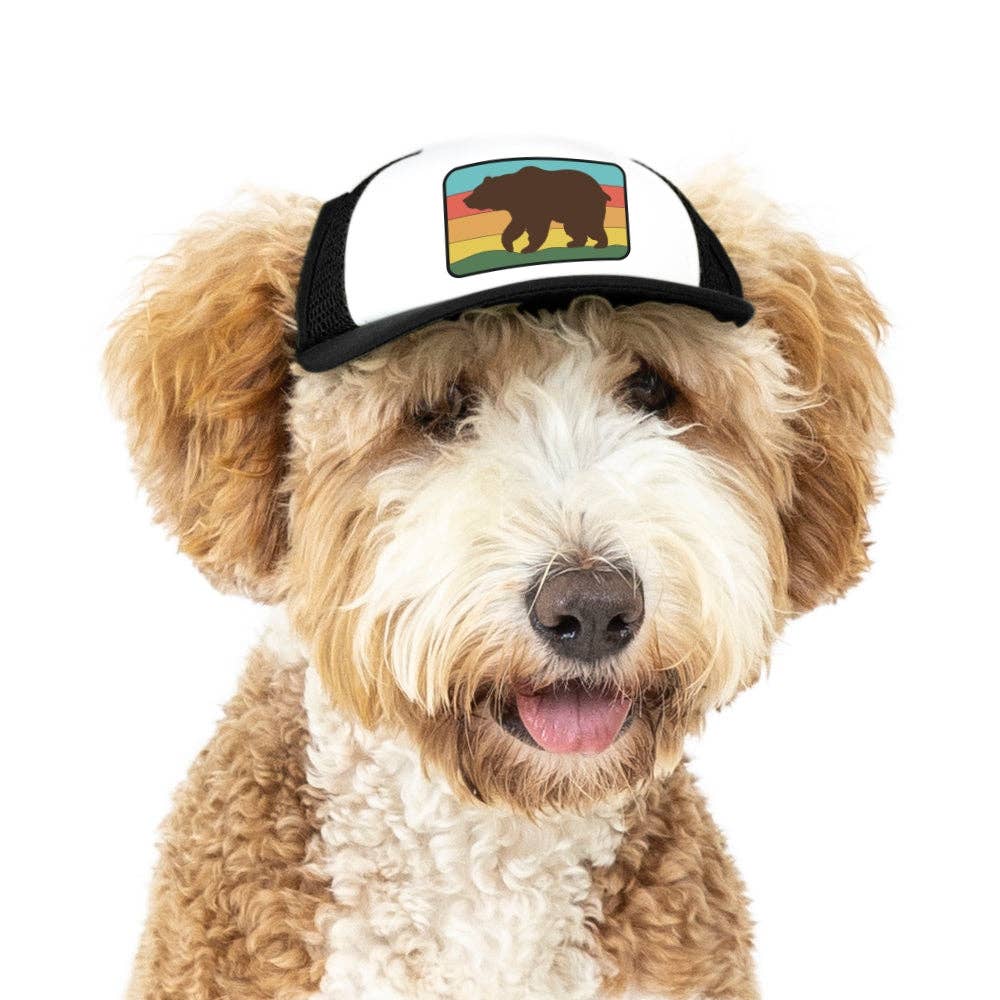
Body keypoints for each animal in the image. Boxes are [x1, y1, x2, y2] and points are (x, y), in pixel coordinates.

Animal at [463, 166, 611, 253]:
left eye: (476, 191)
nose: (465, 200)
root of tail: (601, 190)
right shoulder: (520, 210)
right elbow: (515, 226)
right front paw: (509, 246)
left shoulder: (536, 206)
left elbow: (537, 227)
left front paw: (527, 248)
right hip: (573, 214)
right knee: (574, 227)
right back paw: (574, 243)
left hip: (586, 205)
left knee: (592, 225)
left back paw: (600, 244)